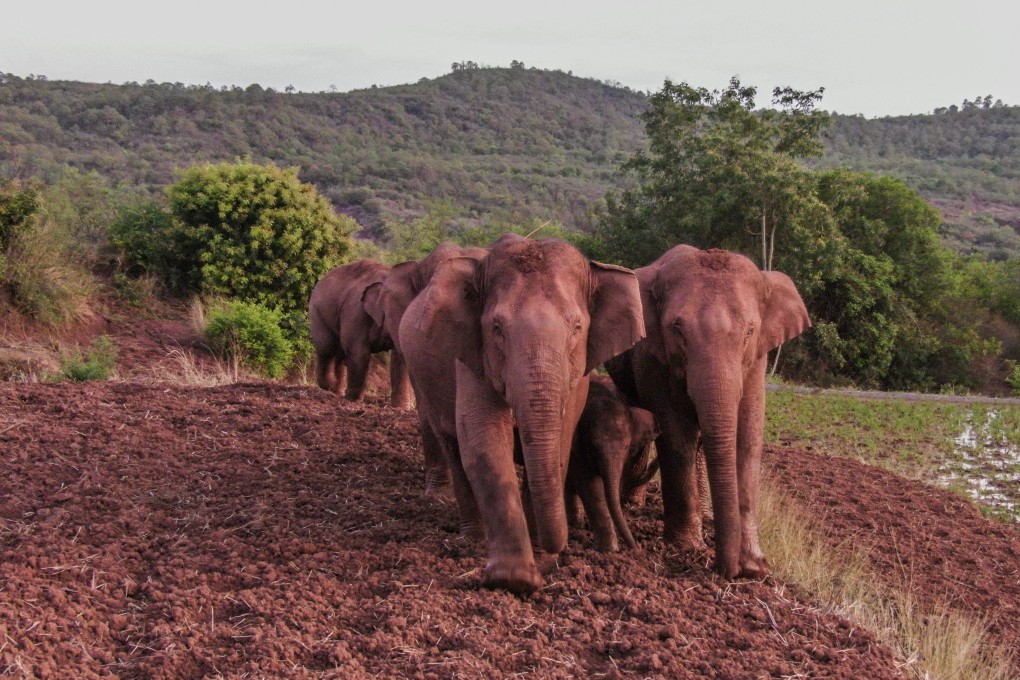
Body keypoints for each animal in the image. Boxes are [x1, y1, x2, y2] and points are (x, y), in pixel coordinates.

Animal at [308, 259, 412, 408]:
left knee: (339, 354)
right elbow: (359, 353)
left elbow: (398, 359)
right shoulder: (355, 312)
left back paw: (337, 391)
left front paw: (401, 408)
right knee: (326, 348)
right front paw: (353, 400)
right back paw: (331, 388)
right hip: (317, 312)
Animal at [399, 235, 645, 594]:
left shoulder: (579, 376)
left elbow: (561, 445)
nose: (557, 549)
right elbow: (485, 443)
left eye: (577, 327)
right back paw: (473, 539)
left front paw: (539, 555)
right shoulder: (473, 356)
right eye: (497, 327)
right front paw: (515, 579)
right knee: (452, 444)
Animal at [565, 375, 659, 552]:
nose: (636, 548)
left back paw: (576, 524)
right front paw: (609, 550)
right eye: (593, 445)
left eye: (626, 446)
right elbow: (588, 483)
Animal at [607, 245, 810, 580]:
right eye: (677, 330)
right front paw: (687, 546)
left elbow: (748, 437)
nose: (730, 571)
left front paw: (755, 565)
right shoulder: (654, 356)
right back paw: (633, 504)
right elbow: (676, 436)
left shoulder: (758, 359)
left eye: (750, 331)